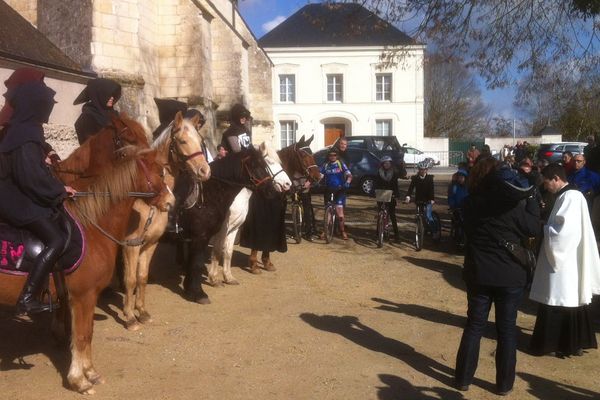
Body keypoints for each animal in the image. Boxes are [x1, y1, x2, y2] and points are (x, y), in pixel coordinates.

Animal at [120, 111, 211, 330]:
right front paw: (129, 317)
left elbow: (142, 277)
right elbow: (130, 279)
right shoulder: (130, 245)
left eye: (200, 141)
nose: (205, 171)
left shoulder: (150, 243)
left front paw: (141, 312)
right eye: (183, 141)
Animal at [207, 136, 322, 286]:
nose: (319, 176)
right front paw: (254, 265)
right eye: (303, 155)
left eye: (312, 154)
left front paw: (267, 263)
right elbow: (254, 243)